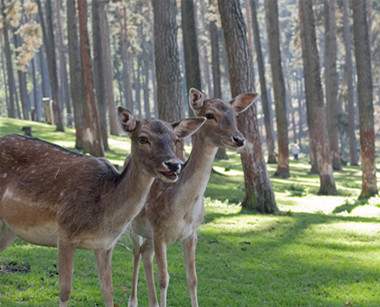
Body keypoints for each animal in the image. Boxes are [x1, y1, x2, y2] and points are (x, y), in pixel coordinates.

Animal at [0, 106, 205, 307]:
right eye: (143, 138)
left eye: (175, 140)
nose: (173, 164)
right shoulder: (65, 232)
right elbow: (65, 291)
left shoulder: (105, 245)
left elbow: (108, 292)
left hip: (9, 229)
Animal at [127, 88, 258, 306]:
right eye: (209, 115)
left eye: (236, 115)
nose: (239, 139)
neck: (182, 210)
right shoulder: (158, 229)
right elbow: (164, 279)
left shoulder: (191, 233)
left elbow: (193, 279)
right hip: (132, 225)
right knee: (137, 252)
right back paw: (133, 301)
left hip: (148, 234)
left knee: (145, 253)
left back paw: (152, 302)